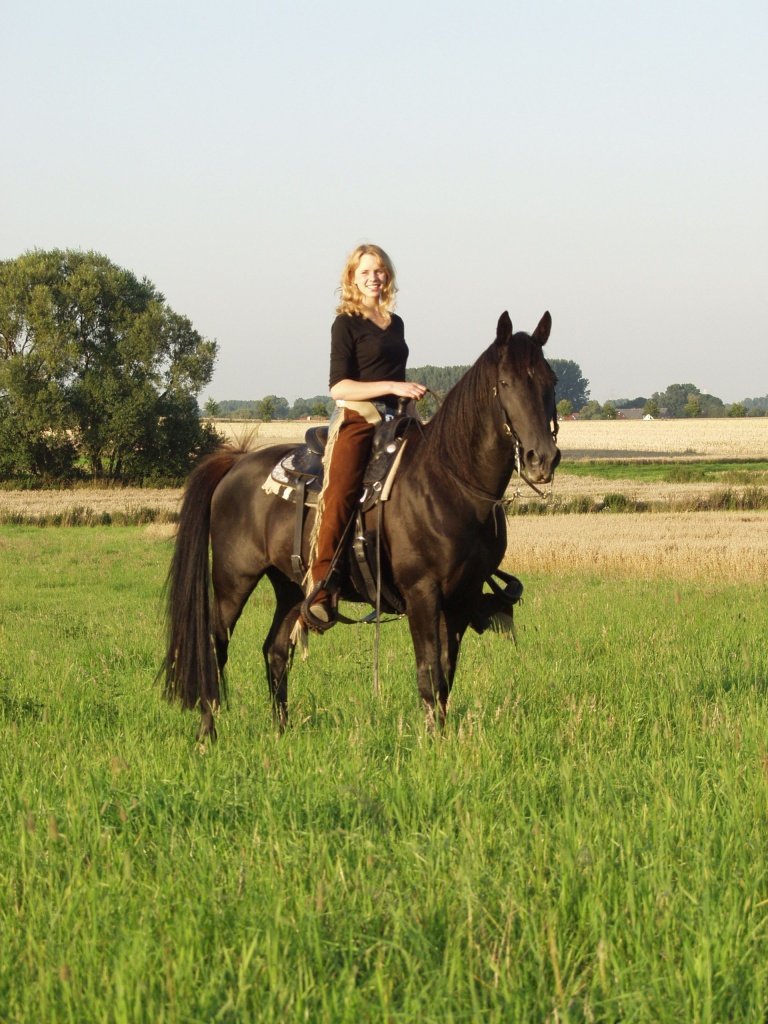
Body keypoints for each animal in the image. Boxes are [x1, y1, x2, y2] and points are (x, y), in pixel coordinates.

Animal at [161, 311, 560, 740]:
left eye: (551, 381)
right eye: (506, 383)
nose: (542, 458)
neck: (450, 482)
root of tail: (236, 461)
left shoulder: (461, 598)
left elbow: (447, 676)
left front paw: (443, 737)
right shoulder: (422, 594)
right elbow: (429, 674)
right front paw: (434, 742)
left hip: (291, 587)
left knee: (275, 650)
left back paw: (281, 732)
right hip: (233, 579)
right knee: (215, 645)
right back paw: (207, 734)